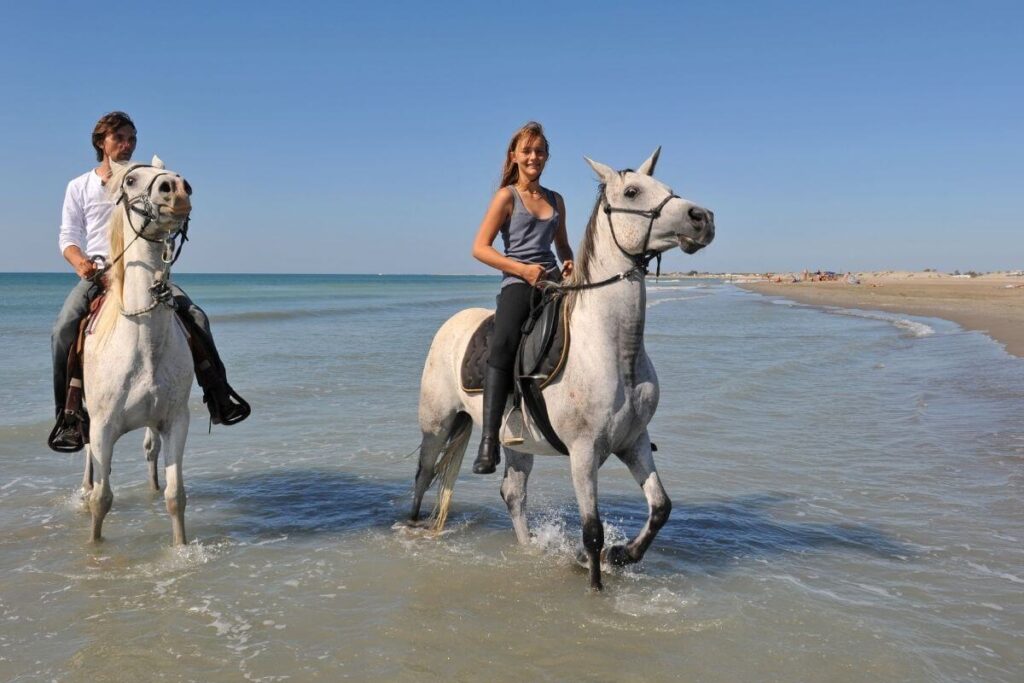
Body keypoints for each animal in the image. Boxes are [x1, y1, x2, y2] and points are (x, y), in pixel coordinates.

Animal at [81, 154, 193, 544]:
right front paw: (94, 548)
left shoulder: (175, 421)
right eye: (130, 181)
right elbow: (102, 499)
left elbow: (176, 496)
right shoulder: (102, 427)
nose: (177, 189)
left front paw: (180, 548)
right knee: (89, 461)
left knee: (150, 451)